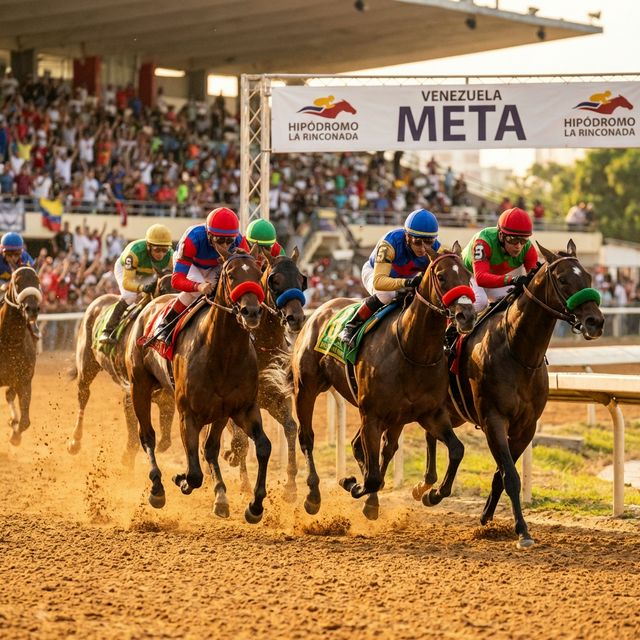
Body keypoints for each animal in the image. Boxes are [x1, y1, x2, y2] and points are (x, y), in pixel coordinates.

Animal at [66, 274, 176, 466]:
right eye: (162, 289)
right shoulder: (130, 393)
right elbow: (134, 437)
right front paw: (127, 460)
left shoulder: (168, 399)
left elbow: (165, 441)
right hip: (86, 364)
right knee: (83, 395)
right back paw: (75, 441)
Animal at [126, 246, 271, 523]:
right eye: (230, 274)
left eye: (258, 273)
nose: (251, 312)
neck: (222, 352)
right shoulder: (188, 414)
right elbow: (194, 473)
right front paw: (180, 478)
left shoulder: (241, 409)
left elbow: (262, 447)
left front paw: (255, 506)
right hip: (139, 386)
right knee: (147, 435)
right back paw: (157, 487)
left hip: (219, 413)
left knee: (210, 448)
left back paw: (221, 497)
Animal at [224, 247, 307, 500]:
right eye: (274, 280)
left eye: (301, 279)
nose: (296, 318)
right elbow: (240, 440)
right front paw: (240, 473)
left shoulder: (276, 396)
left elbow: (291, 428)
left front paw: (291, 485)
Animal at [291, 244, 476, 518]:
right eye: (441, 276)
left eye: (468, 275)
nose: (467, 316)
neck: (413, 350)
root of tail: (320, 311)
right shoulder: (371, 414)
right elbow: (372, 478)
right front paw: (351, 483)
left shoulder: (430, 413)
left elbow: (456, 450)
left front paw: (433, 494)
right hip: (306, 388)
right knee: (307, 437)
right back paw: (313, 495)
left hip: (393, 416)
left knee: (373, 447)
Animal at [413, 241, 604, 549]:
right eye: (563, 279)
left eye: (587, 276)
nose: (595, 321)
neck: (518, 352)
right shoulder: (494, 420)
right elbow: (510, 476)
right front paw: (523, 531)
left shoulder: (526, 426)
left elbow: (500, 476)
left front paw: (486, 518)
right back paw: (429, 488)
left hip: (451, 412)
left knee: (433, 435)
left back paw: (428, 486)